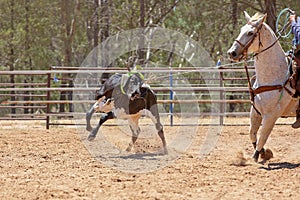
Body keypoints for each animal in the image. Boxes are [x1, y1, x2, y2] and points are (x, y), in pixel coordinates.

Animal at [227, 11, 298, 162]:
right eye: (241, 29)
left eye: (250, 32)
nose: (232, 53)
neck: (273, 76)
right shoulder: (255, 112)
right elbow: (252, 134)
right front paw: (265, 153)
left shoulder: (271, 116)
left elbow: (262, 137)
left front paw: (257, 156)